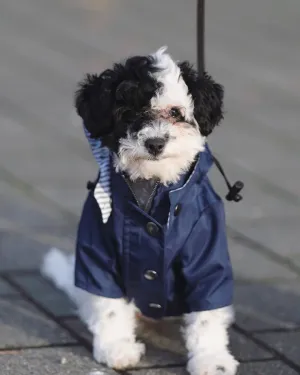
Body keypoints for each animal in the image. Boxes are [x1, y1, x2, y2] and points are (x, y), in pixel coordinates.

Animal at [42, 47, 239, 375]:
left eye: (175, 113)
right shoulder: (98, 249)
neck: (153, 184)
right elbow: (108, 303)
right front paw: (116, 348)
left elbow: (208, 308)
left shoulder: (207, 252)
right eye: (129, 114)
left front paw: (212, 358)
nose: (155, 143)